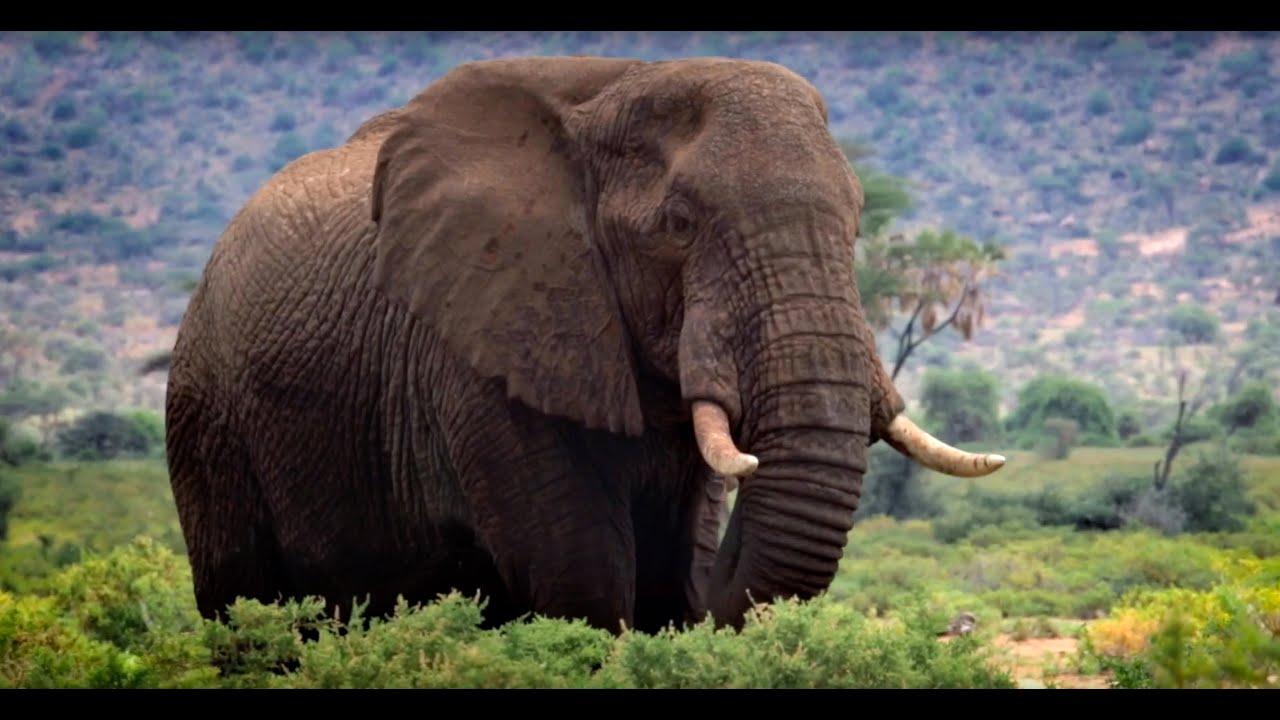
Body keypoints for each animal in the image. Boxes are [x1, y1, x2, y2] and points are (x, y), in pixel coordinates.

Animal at [163, 55, 1005, 637]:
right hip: (206, 417)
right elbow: (581, 577)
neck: (608, 95)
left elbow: (670, 574)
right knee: (242, 604)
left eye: (858, 223)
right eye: (678, 225)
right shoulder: (480, 344)